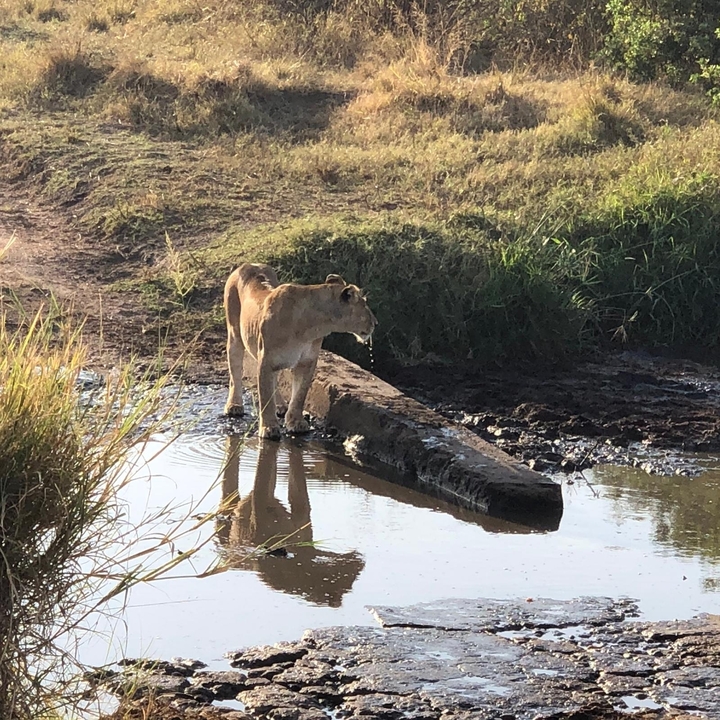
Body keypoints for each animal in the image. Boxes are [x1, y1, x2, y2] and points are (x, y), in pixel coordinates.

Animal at [223, 263, 377, 440]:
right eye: (364, 306)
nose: (376, 323)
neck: (312, 325)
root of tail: (248, 264)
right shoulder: (266, 360)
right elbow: (265, 396)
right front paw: (268, 428)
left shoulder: (306, 361)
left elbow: (299, 395)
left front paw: (296, 423)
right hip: (235, 335)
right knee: (235, 372)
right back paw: (234, 405)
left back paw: (281, 406)